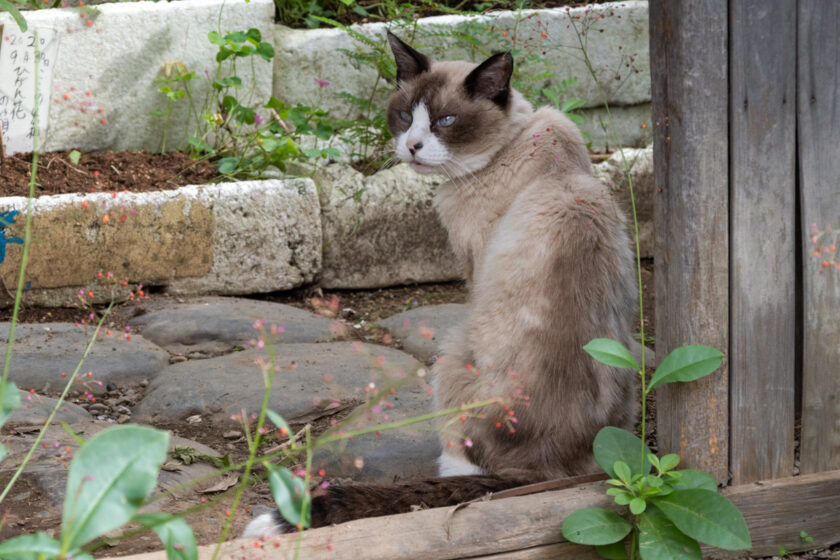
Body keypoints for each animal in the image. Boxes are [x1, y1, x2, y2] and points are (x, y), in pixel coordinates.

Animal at [243, 31, 636, 540]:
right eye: (405, 116)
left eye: (446, 121)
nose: (411, 146)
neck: (515, 144)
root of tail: (550, 469)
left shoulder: (474, 271)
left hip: (451, 355)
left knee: (469, 464)